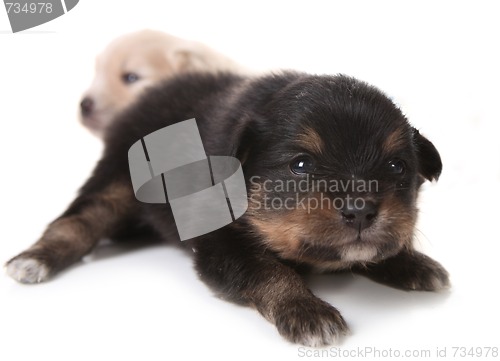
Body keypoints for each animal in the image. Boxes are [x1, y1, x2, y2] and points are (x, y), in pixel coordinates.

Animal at [4, 71, 450, 346]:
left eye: (396, 167)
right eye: (300, 164)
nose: (360, 210)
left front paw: (413, 264)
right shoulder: (218, 243)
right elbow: (268, 270)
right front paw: (307, 311)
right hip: (118, 179)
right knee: (79, 220)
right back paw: (33, 259)